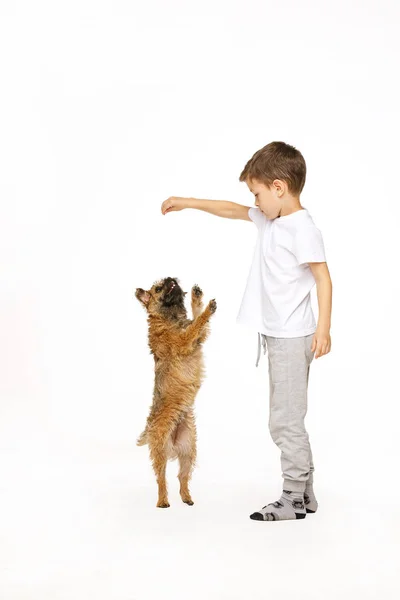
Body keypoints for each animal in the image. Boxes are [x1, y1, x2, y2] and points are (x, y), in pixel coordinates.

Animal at [134, 276, 216, 506]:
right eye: (158, 289)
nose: (171, 278)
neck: (170, 318)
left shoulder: (198, 338)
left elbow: (197, 320)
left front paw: (197, 299)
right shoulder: (185, 340)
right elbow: (197, 323)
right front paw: (207, 308)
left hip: (189, 449)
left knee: (182, 476)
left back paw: (186, 497)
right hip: (160, 450)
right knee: (161, 479)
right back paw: (163, 501)